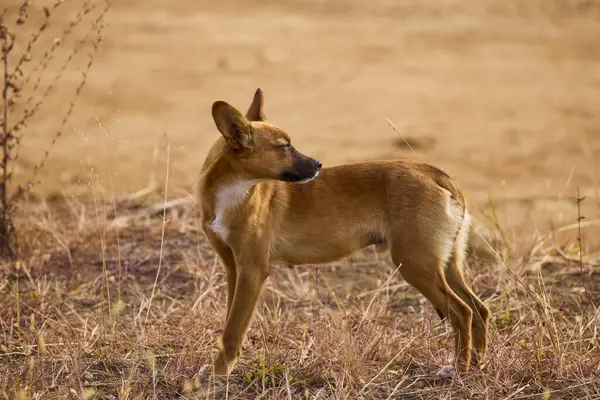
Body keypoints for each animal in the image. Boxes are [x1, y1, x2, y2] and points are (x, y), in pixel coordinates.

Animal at [195, 89, 490, 376]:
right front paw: (225, 367)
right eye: (284, 146)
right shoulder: (234, 269)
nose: (318, 164)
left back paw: (459, 369)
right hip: (444, 263)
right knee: (479, 309)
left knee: (462, 312)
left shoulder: (253, 270)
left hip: (415, 264)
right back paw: (476, 365)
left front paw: (218, 374)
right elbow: (231, 323)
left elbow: (233, 330)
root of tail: (434, 173)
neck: (232, 192)